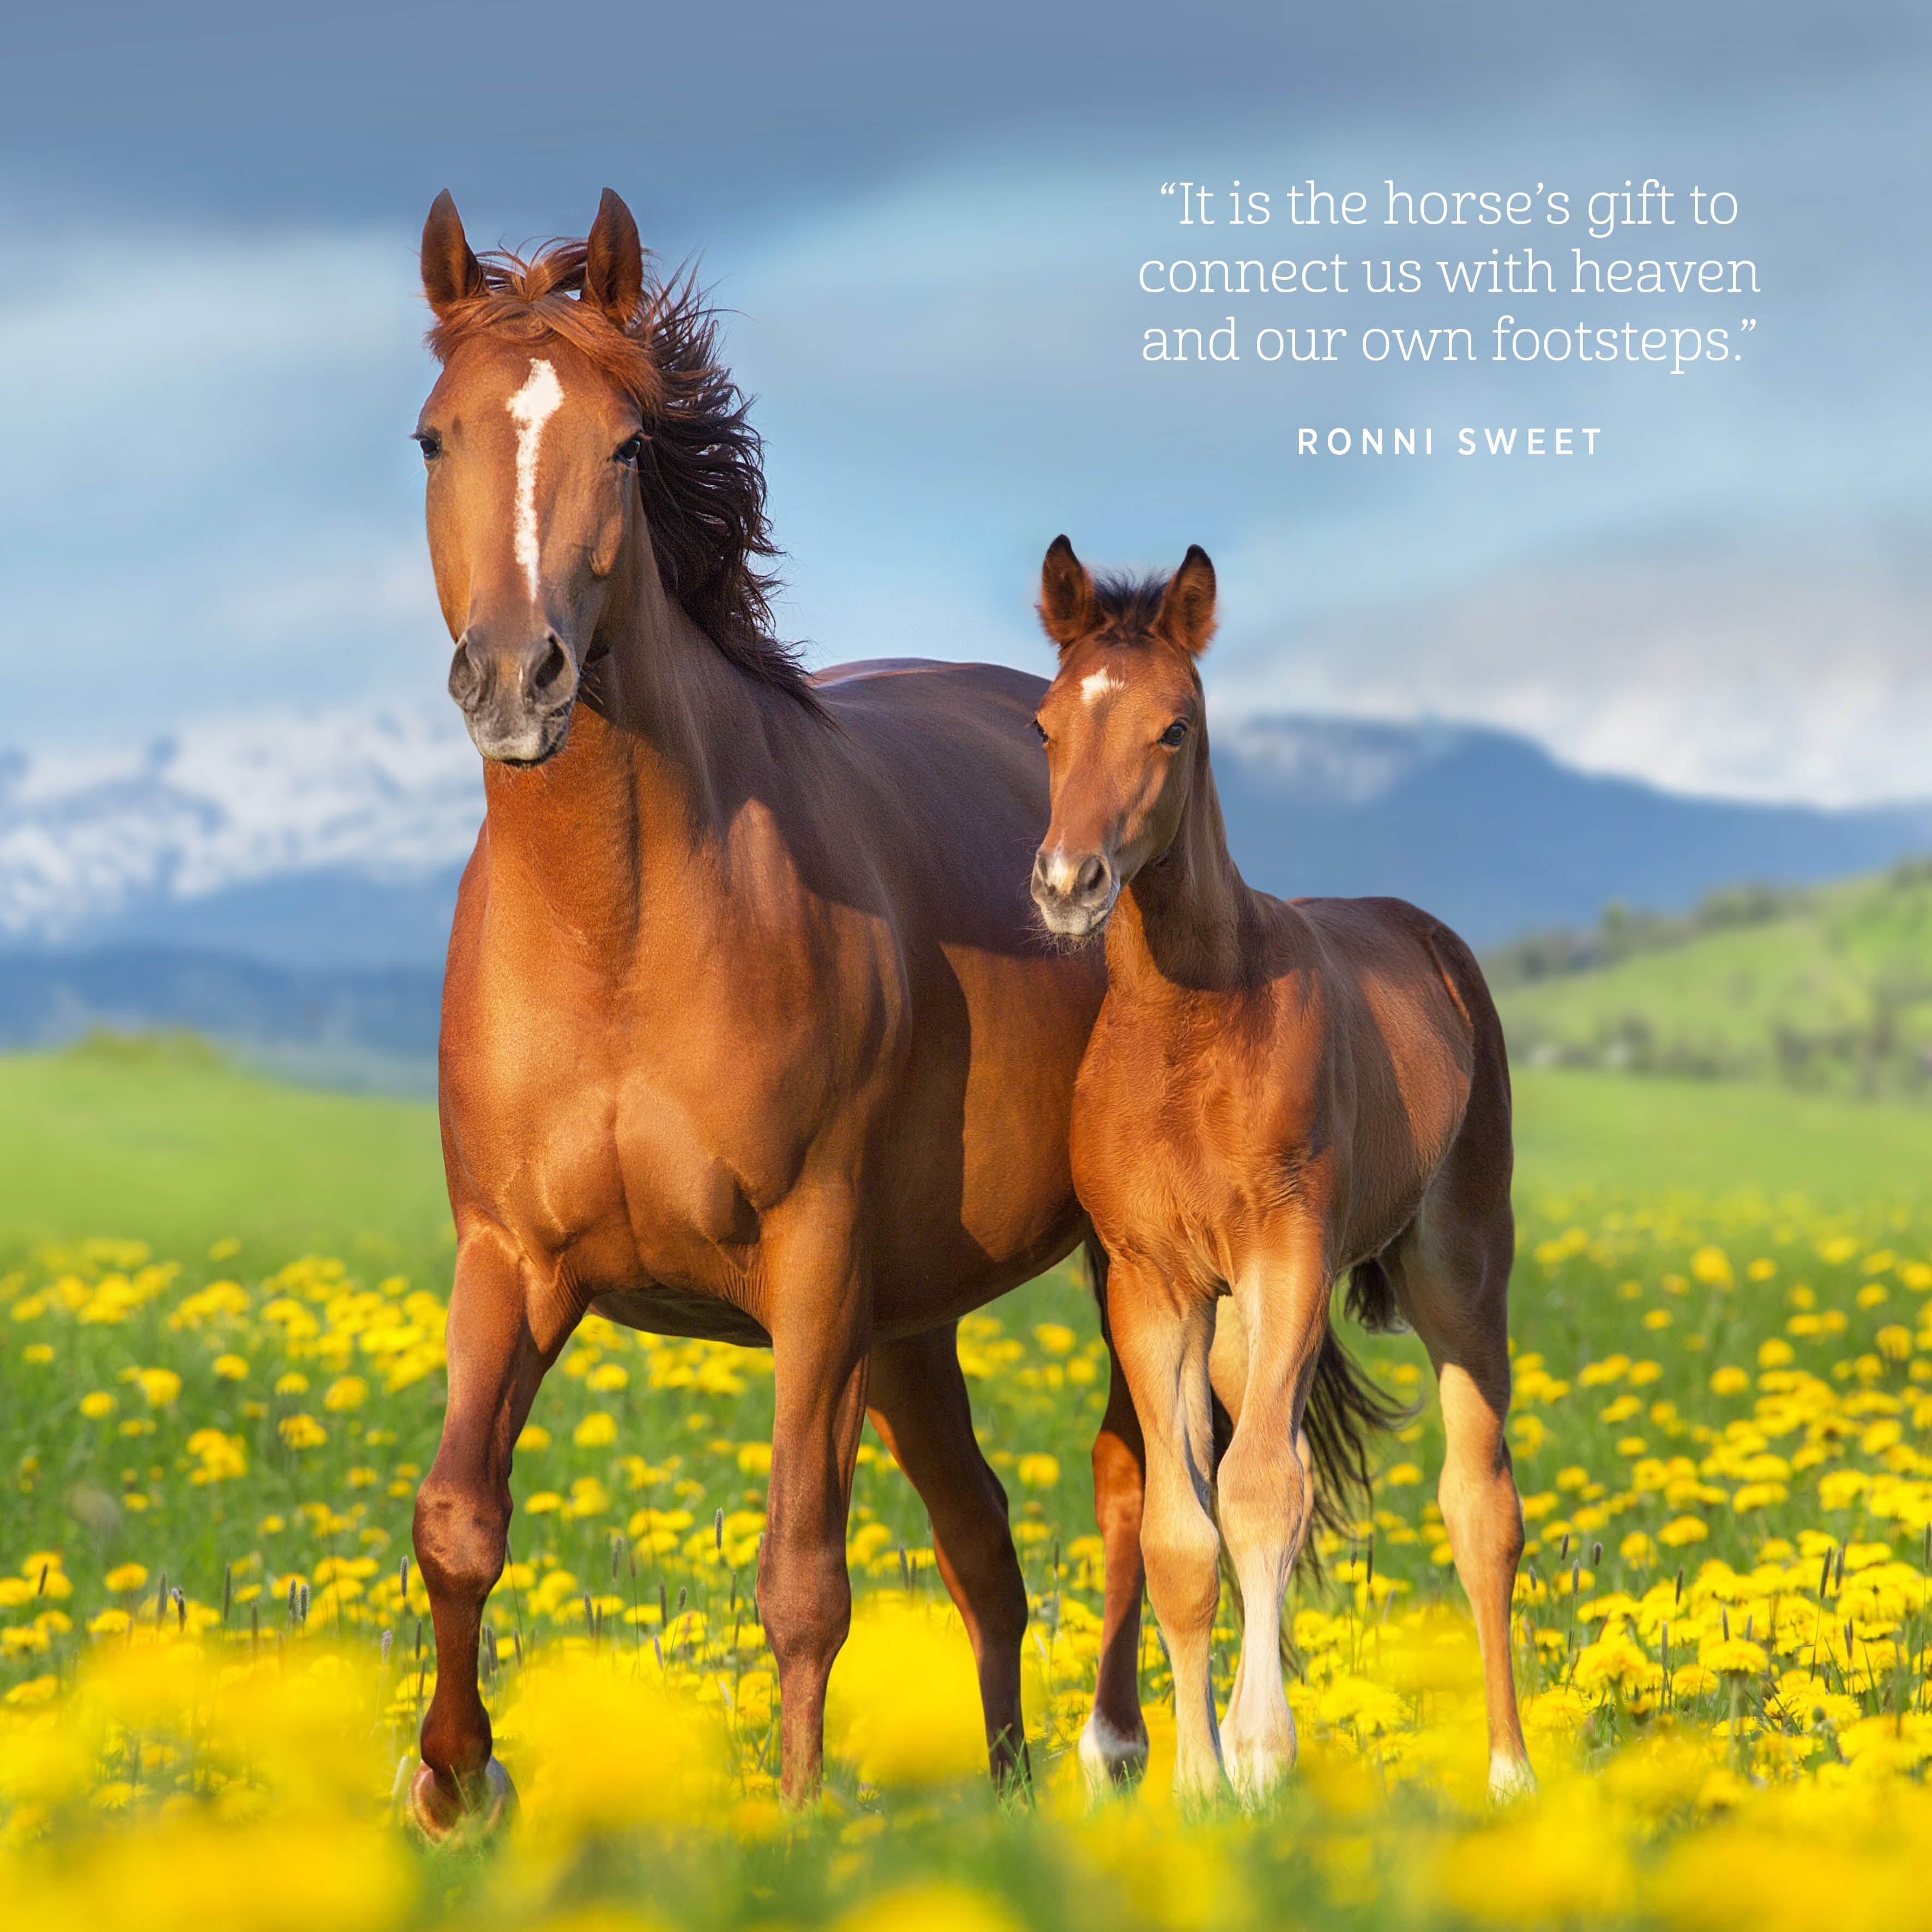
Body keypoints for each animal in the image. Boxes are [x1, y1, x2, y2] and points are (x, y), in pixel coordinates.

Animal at [403, 189, 1151, 1827]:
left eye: (627, 444)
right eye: (434, 437)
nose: (516, 679)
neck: (616, 931)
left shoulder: (811, 1264)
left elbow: (802, 1574)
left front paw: (798, 1825)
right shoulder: (509, 1256)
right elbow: (457, 1519)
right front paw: (453, 1781)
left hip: (1104, 1271)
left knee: (1150, 1487)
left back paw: (1131, 1756)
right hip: (911, 1321)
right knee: (984, 1545)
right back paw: (1009, 1786)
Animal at [1026, 536, 1532, 1804]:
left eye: (1172, 728)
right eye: (1045, 724)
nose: (1067, 882)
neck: (1185, 1032)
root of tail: (1430, 941)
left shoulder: (1285, 1255)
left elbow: (1259, 1492)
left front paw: (1259, 1758)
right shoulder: (1151, 1285)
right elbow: (1183, 1526)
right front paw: (1196, 1781)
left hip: (1455, 1277)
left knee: (1478, 1506)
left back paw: (1510, 1772)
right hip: (1245, 1330)